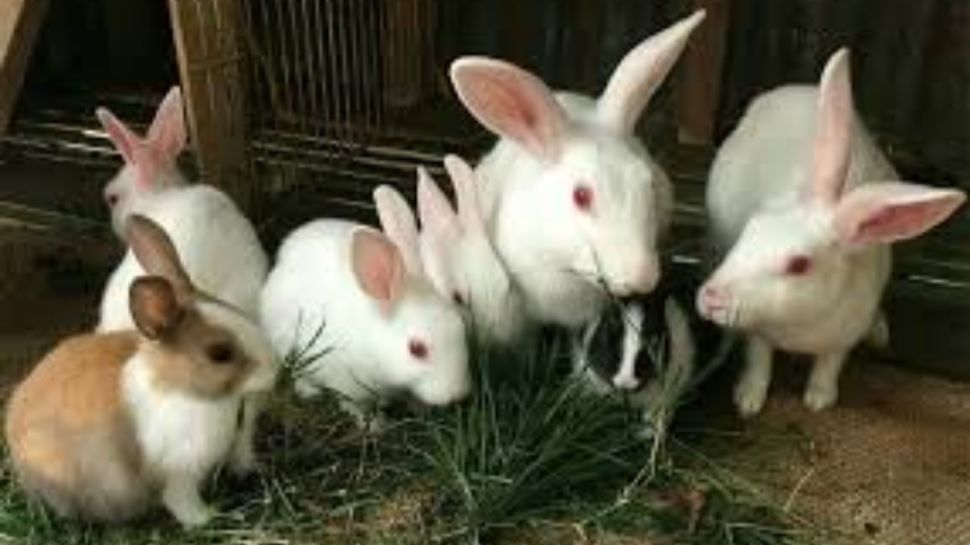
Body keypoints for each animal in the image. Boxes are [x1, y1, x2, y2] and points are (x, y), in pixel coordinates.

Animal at [4, 215, 277, 527]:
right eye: (219, 353)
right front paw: (208, 517)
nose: (275, 370)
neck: (183, 389)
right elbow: (183, 502)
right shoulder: (177, 475)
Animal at [259, 214, 470, 429]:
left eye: (461, 327)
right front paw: (376, 426)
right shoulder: (346, 384)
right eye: (417, 349)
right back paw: (309, 392)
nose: (458, 394)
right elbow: (354, 407)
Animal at [696, 49, 967, 417]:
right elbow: (759, 362)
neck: (797, 325)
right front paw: (748, 400)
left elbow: (829, 366)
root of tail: (791, 90)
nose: (710, 298)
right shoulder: (758, 334)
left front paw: (818, 400)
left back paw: (879, 331)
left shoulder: (841, 340)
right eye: (752, 227)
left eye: (798, 265)